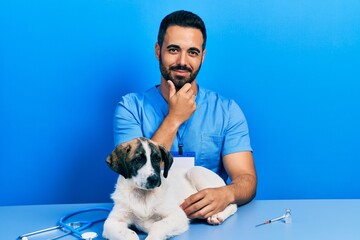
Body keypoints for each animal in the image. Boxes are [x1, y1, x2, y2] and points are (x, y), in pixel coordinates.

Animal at [102, 138, 238, 240]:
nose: (154, 179)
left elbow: (158, 225)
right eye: (138, 159)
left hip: (196, 172)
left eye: (157, 159)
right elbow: (128, 234)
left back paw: (217, 216)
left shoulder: (178, 215)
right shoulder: (112, 222)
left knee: (231, 204)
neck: (143, 195)